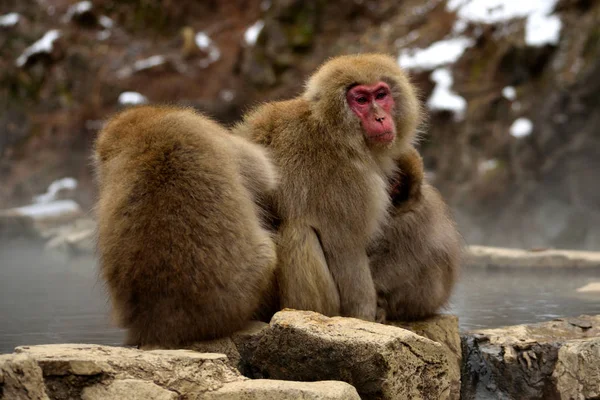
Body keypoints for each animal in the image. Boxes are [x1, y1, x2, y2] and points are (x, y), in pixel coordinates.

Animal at [232, 54, 420, 322]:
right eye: (361, 100)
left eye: (381, 94)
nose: (380, 118)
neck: (335, 132)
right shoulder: (346, 182)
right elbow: (345, 250)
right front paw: (363, 316)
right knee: (299, 232)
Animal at [368, 147, 462, 322]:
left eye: (396, 182)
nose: (391, 190)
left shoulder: (414, 223)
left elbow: (399, 261)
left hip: (423, 301)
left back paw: (384, 307)